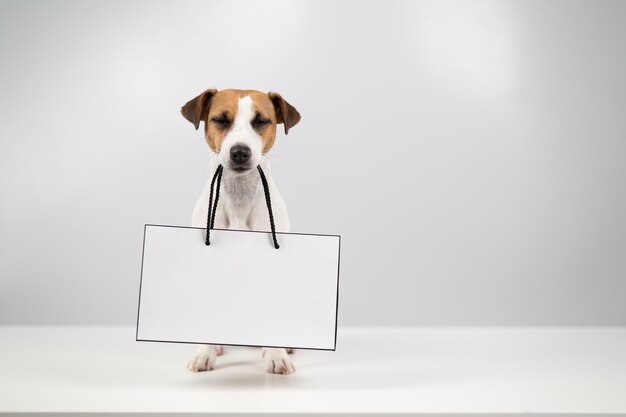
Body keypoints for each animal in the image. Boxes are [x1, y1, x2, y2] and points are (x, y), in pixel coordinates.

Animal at [179, 88, 302, 374]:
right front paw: (204, 352)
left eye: (262, 121)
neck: (239, 195)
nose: (239, 152)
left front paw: (276, 354)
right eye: (220, 120)